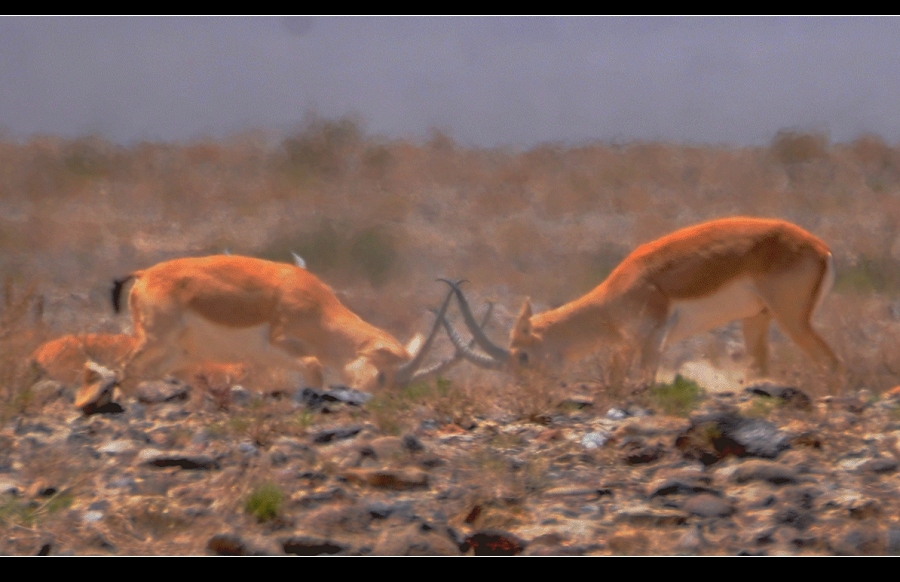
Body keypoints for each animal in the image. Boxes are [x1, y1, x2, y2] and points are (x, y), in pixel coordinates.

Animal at [440, 217, 840, 386]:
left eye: (522, 356)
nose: (529, 394)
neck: (612, 296)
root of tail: (820, 248)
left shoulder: (652, 338)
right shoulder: (626, 344)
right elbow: (617, 379)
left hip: (792, 320)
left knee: (831, 362)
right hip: (757, 319)